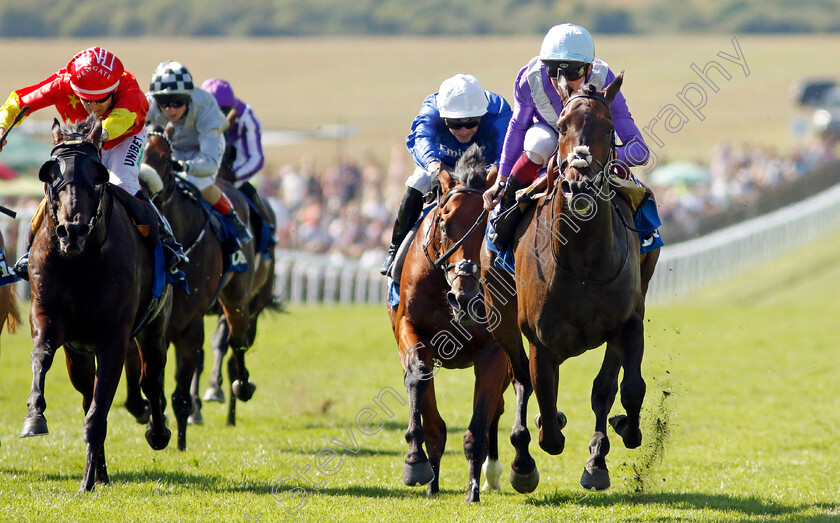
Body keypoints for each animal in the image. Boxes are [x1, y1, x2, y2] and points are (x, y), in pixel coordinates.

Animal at [22, 117, 172, 492]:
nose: (71, 230)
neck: (81, 260)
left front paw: (88, 480)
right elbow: (41, 355)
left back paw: (158, 433)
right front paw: (34, 416)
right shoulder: (48, 318)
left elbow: (101, 408)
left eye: (98, 174)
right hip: (77, 353)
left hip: (155, 326)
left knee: (151, 379)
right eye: (50, 173)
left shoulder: (114, 337)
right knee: (87, 392)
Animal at [482, 72, 660, 492]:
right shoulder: (539, 339)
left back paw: (596, 455)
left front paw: (621, 434)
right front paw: (528, 460)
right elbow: (545, 411)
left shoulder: (629, 321)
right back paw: (523, 454)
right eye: (562, 127)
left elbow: (627, 388)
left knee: (603, 389)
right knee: (521, 381)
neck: (583, 262)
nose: (579, 185)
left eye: (609, 128)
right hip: (501, 319)